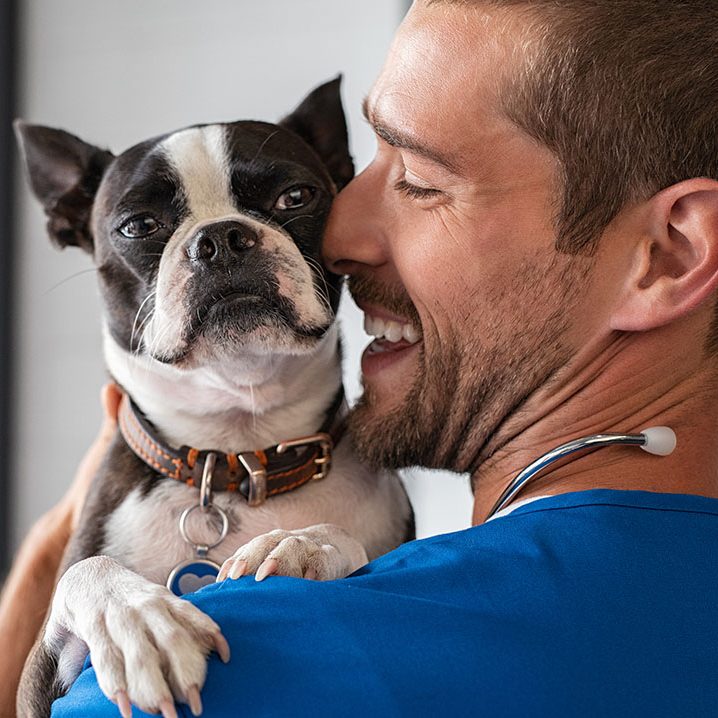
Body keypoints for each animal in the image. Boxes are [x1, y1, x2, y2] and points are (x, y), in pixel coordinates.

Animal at [14, 76, 414, 716]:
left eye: (296, 197)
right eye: (138, 226)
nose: (222, 238)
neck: (236, 451)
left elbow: (346, 540)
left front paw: (303, 544)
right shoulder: (35, 683)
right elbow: (86, 572)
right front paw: (139, 620)